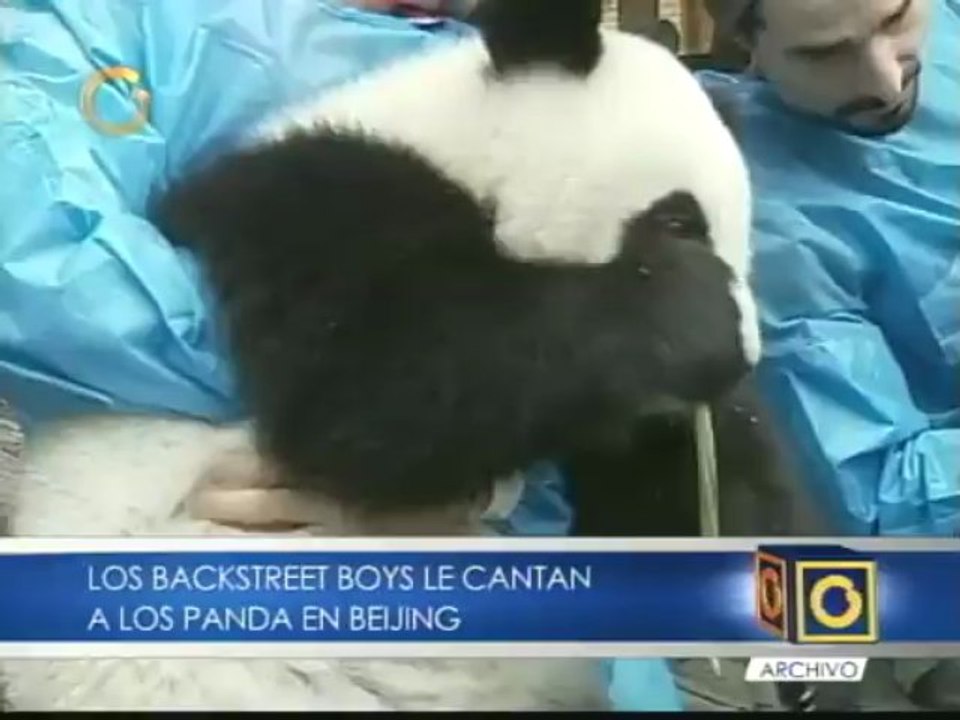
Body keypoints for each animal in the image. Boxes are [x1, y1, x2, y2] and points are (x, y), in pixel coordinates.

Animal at [0, 0, 808, 711]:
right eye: (678, 222)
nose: (744, 352)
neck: (460, 152)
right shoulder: (313, 211)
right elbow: (369, 387)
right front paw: (690, 317)